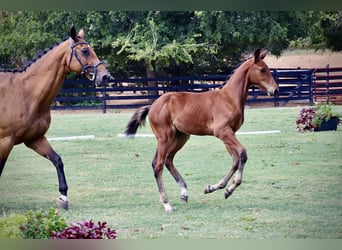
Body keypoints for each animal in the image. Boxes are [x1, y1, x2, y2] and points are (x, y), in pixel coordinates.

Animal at [0, 25, 112, 209]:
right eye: (84, 50)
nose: (106, 76)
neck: (24, 93)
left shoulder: (35, 139)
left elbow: (57, 160)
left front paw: (63, 197)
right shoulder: (5, 141)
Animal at [125, 48, 278, 211]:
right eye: (262, 69)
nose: (275, 90)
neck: (229, 98)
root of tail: (153, 105)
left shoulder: (229, 134)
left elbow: (235, 159)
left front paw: (216, 188)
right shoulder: (223, 132)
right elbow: (242, 153)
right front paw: (229, 188)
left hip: (180, 137)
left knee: (167, 160)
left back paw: (184, 193)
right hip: (165, 137)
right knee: (158, 164)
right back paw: (167, 203)